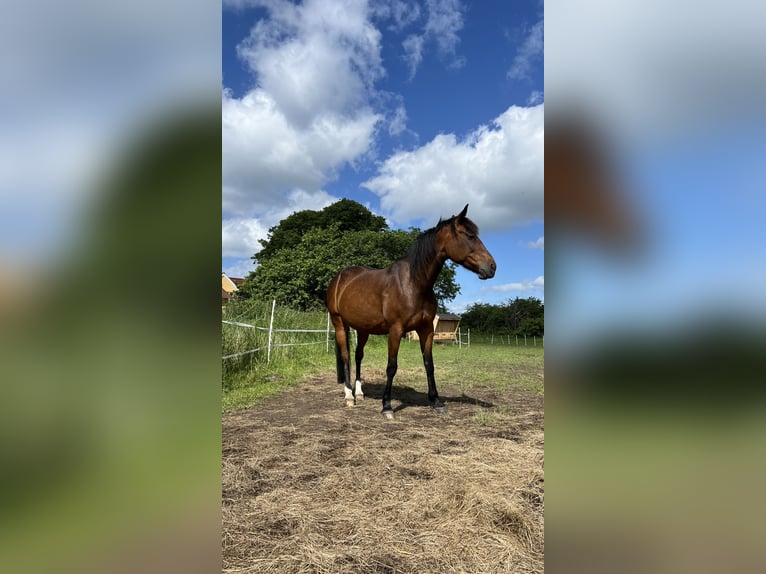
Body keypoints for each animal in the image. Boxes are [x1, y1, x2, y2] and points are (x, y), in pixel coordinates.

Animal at [326, 205, 498, 420]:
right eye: (470, 236)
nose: (492, 267)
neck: (414, 284)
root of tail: (339, 278)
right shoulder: (396, 330)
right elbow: (391, 367)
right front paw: (387, 406)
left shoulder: (426, 330)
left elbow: (429, 364)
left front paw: (436, 401)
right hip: (339, 323)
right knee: (345, 356)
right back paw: (349, 396)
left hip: (363, 328)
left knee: (358, 356)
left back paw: (359, 393)